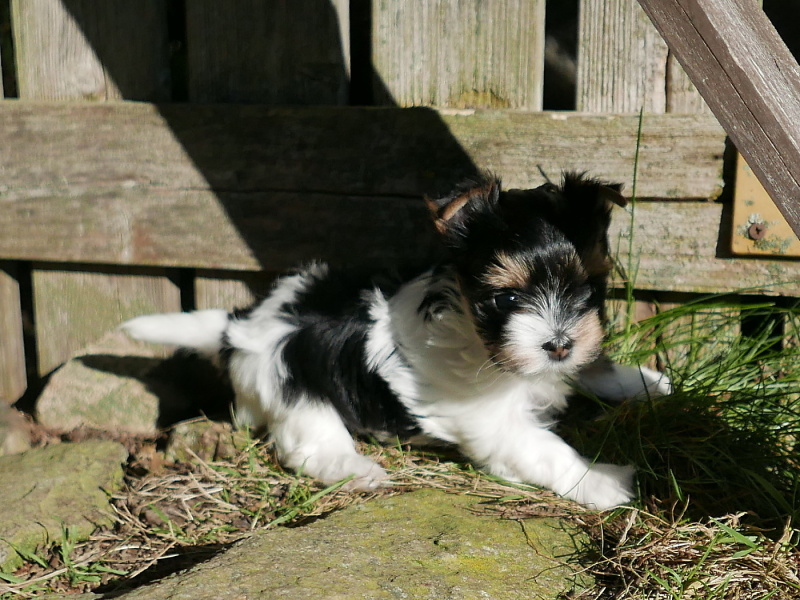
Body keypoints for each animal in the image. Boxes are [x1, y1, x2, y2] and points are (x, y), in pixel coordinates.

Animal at [123, 173, 671, 510]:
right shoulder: (494, 424)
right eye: (507, 298)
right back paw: (360, 470)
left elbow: (593, 365)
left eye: (588, 290)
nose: (557, 345)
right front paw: (602, 481)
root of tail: (243, 324)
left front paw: (645, 383)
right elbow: (547, 450)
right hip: (295, 391)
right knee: (310, 447)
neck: (481, 341)